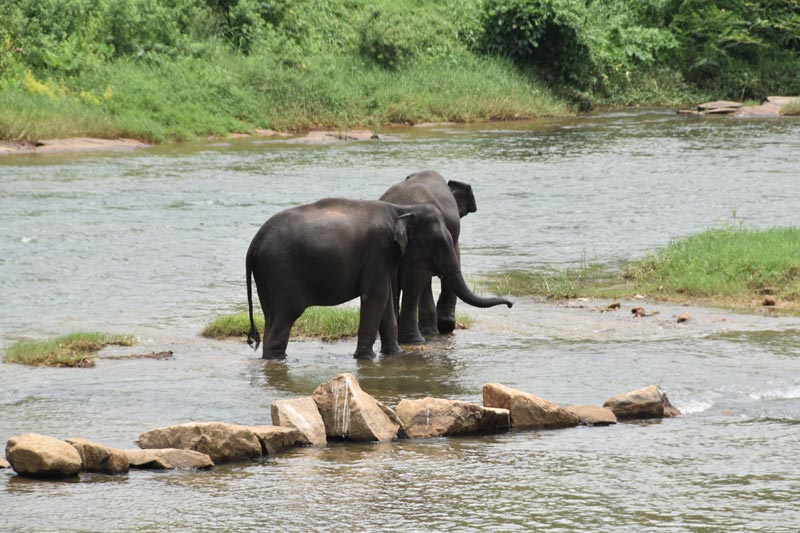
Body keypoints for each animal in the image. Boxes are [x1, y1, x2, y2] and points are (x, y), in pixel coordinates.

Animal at [244, 197, 512, 360]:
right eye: (437, 243)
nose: (510, 304)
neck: (401, 209)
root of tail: (253, 245)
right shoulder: (378, 250)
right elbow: (376, 296)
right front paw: (366, 358)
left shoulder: (384, 257)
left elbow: (385, 301)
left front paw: (394, 355)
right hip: (281, 272)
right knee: (286, 316)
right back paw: (278, 359)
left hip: (266, 277)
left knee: (271, 316)